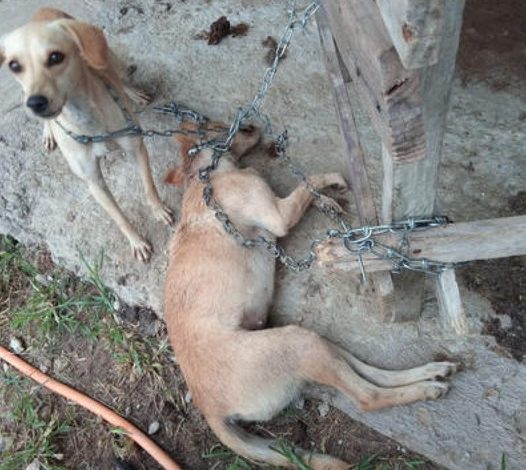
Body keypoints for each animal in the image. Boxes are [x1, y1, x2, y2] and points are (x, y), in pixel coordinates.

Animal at [0, 8, 173, 260]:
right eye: (14, 65)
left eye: (55, 57)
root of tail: (43, 10)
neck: (87, 122)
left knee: (117, 76)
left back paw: (132, 92)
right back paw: (48, 131)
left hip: (108, 57)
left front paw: (158, 210)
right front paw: (136, 241)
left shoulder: (137, 148)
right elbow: (119, 217)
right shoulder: (93, 181)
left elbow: (149, 187)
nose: (36, 103)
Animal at [167, 126, 460, 468]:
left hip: (313, 342)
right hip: (298, 344)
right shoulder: (279, 215)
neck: (204, 176)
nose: (252, 125)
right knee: (367, 397)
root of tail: (210, 410)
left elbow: (309, 191)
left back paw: (432, 373)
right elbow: (308, 184)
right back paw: (426, 389)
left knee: (370, 372)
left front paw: (329, 200)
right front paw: (330, 182)